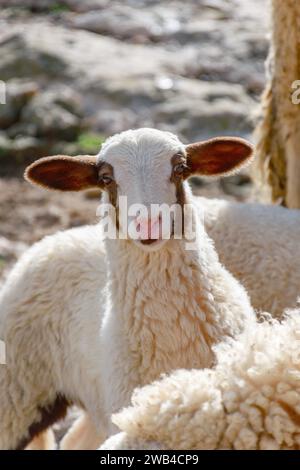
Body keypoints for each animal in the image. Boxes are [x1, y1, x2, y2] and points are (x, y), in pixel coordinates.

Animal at [0, 127, 258, 448]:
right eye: (106, 178)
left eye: (180, 168)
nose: (148, 224)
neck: (172, 334)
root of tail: (57, 237)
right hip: (17, 391)